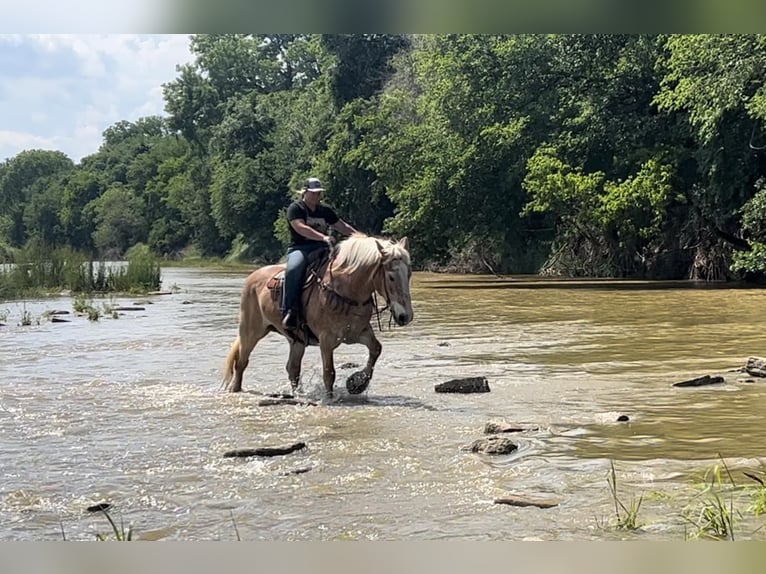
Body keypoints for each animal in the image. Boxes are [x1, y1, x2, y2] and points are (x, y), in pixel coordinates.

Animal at [222, 234, 414, 400]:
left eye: (409, 274)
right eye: (391, 277)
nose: (406, 316)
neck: (345, 291)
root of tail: (252, 277)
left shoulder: (359, 333)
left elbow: (376, 349)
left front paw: (356, 383)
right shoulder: (326, 340)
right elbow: (329, 373)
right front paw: (330, 398)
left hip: (296, 340)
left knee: (293, 368)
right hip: (251, 332)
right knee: (241, 362)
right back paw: (235, 390)